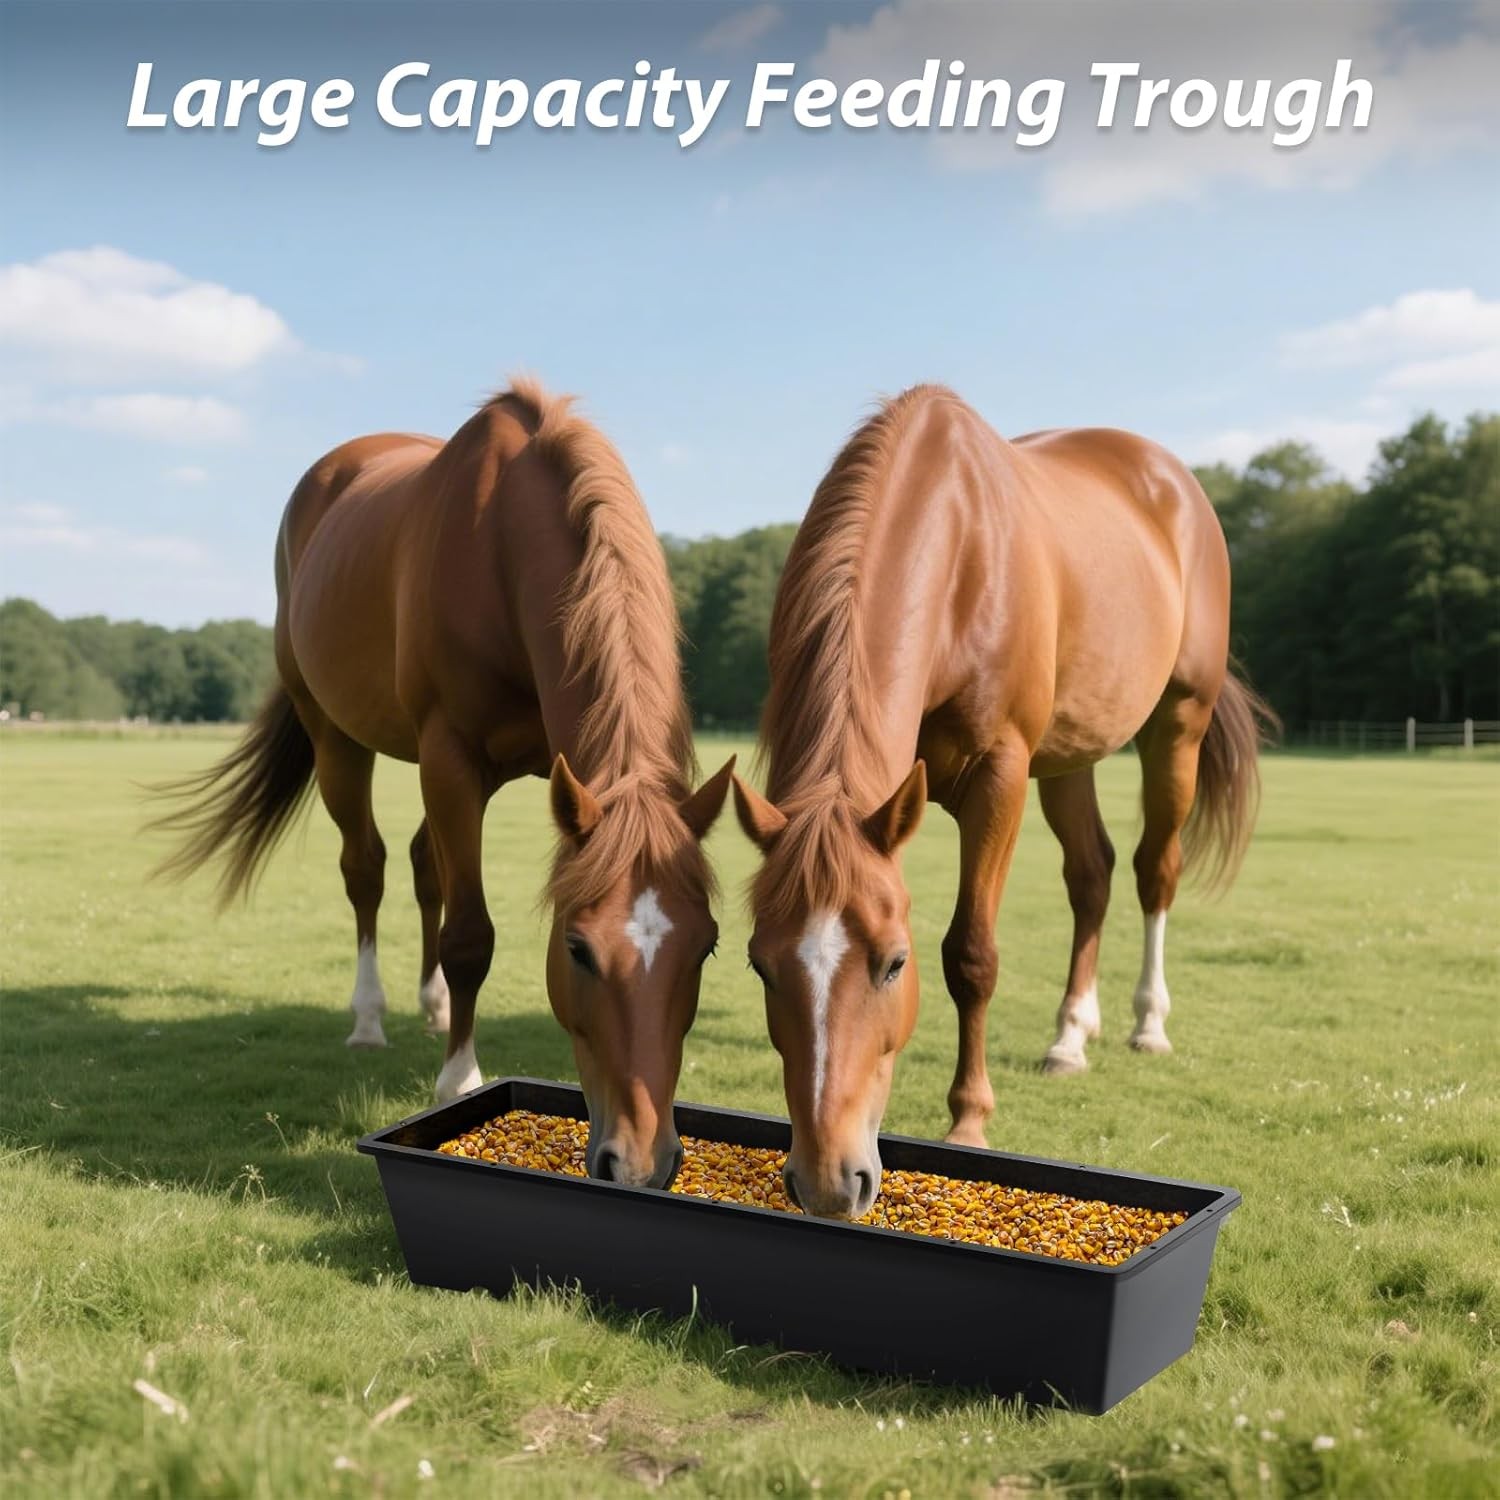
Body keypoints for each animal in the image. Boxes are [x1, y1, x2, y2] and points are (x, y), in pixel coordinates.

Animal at [152, 379, 734, 1188]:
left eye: (706, 948)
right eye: (577, 949)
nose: (642, 1163)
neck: (504, 552)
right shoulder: (451, 758)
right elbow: (470, 936)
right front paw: (460, 1081)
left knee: (425, 863)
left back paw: (430, 1006)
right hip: (339, 739)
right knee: (365, 868)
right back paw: (370, 1018)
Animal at [731, 384, 1275, 1219]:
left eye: (894, 963)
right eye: (760, 964)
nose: (827, 1181)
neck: (957, 550)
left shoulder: (999, 776)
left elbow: (972, 954)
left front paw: (969, 1121)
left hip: (1177, 723)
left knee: (1155, 869)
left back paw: (1147, 1023)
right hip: (1071, 752)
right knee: (1092, 874)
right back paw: (1070, 1037)